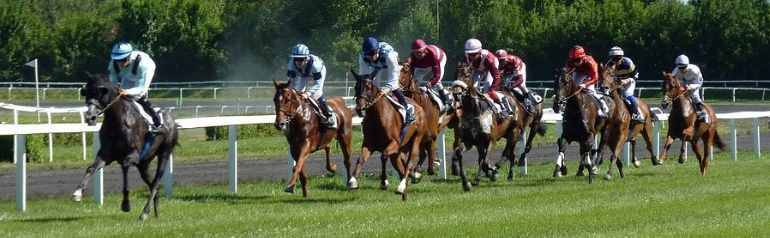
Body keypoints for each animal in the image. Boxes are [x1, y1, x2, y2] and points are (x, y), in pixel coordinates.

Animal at [71, 73, 177, 220]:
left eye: (100, 94)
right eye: (87, 94)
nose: (90, 117)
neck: (117, 122)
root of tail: (172, 120)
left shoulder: (132, 155)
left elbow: (125, 168)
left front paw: (126, 204)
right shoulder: (106, 155)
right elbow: (91, 168)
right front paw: (78, 192)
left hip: (164, 153)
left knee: (156, 183)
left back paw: (144, 212)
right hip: (144, 164)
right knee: (152, 184)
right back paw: (154, 210)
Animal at [348, 70, 426, 201]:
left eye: (368, 87)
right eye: (356, 87)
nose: (360, 108)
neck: (377, 117)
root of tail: (419, 107)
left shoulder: (394, 143)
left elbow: (383, 156)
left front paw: (384, 182)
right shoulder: (369, 144)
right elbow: (361, 159)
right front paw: (352, 181)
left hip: (416, 138)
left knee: (410, 161)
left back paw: (402, 186)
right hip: (398, 152)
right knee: (401, 167)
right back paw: (405, 190)